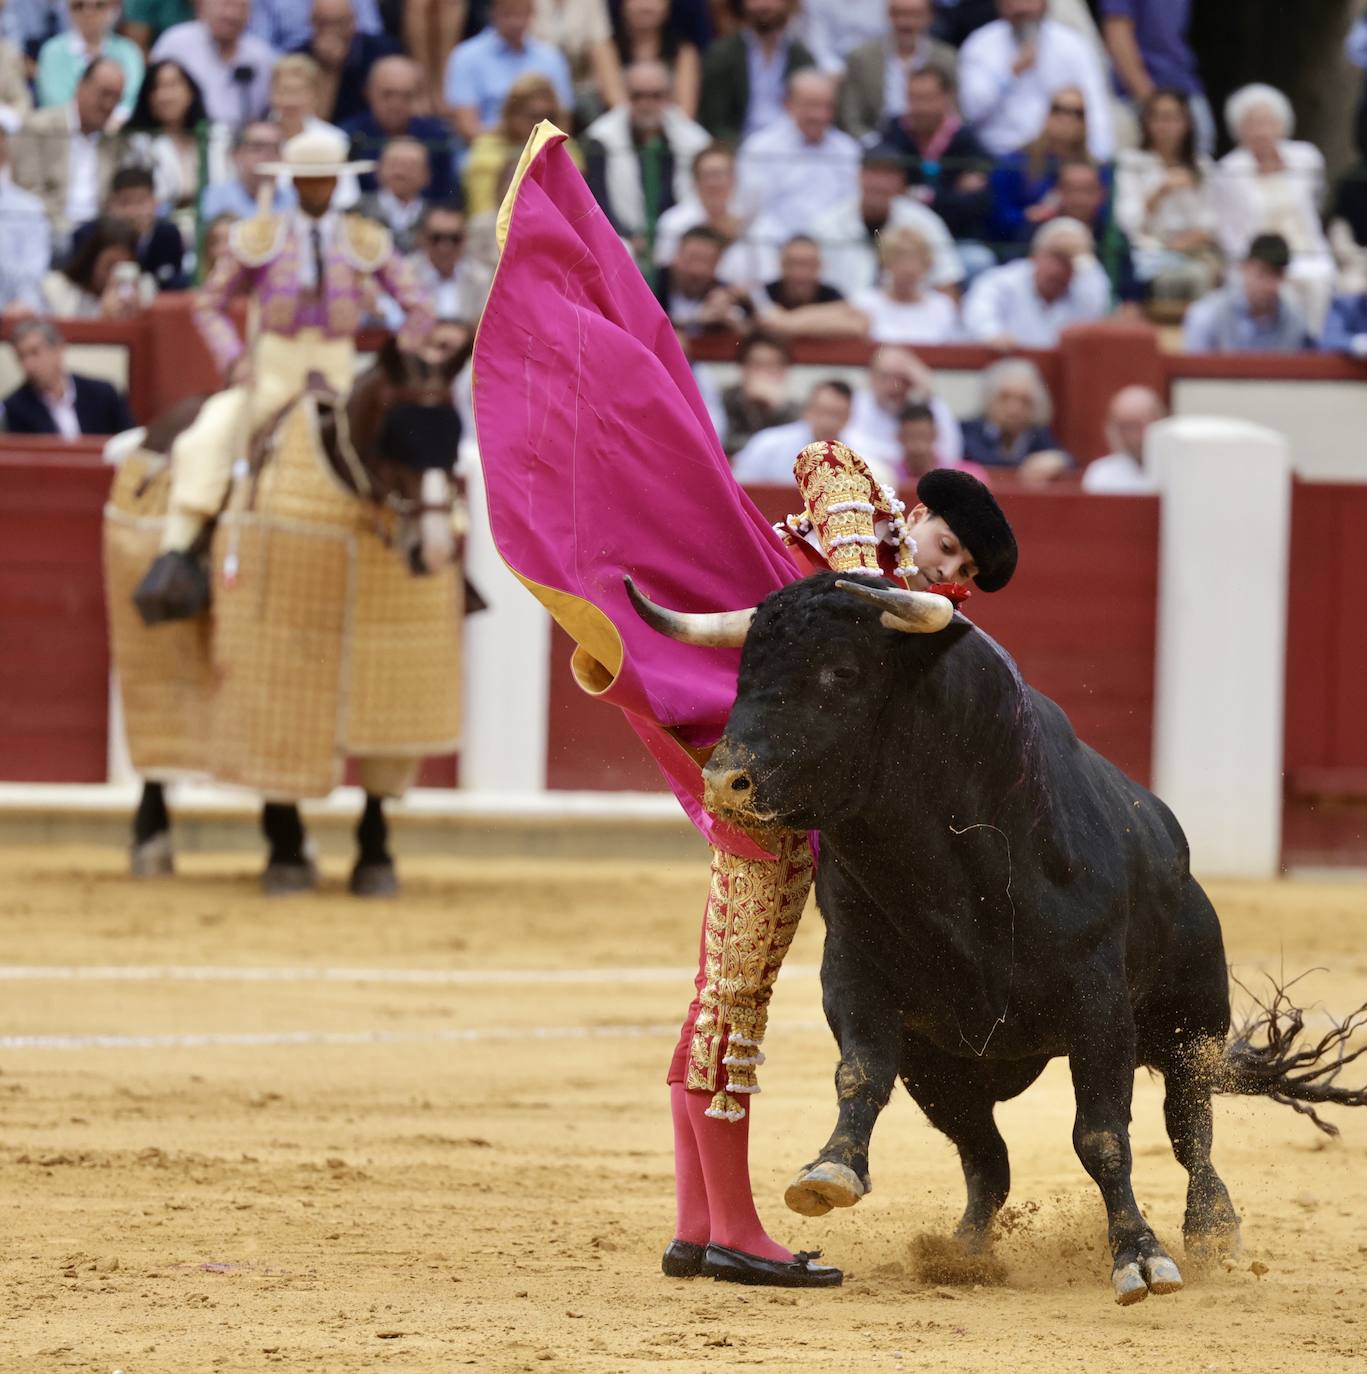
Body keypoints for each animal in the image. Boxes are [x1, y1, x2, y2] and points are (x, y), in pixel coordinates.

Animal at [634, 574, 1367, 1302]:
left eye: (840, 672)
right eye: (742, 673)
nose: (724, 781)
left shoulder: (1099, 1005)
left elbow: (1101, 1135)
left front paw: (1140, 1256)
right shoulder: (853, 973)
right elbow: (860, 1072)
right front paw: (830, 1169)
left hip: (1192, 1024)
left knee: (1190, 1129)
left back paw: (1212, 1229)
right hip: (941, 1073)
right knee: (988, 1158)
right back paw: (962, 1250)